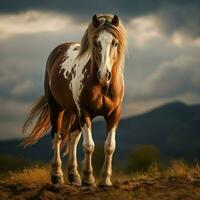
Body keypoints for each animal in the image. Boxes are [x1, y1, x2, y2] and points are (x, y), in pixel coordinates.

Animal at [21, 14, 126, 188]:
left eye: (115, 43)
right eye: (96, 42)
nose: (104, 75)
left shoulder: (114, 114)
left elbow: (109, 146)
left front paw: (105, 180)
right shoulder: (85, 112)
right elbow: (89, 146)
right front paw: (89, 178)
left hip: (75, 114)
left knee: (72, 136)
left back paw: (74, 176)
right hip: (57, 108)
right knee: (57, 137)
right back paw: (57, 175)